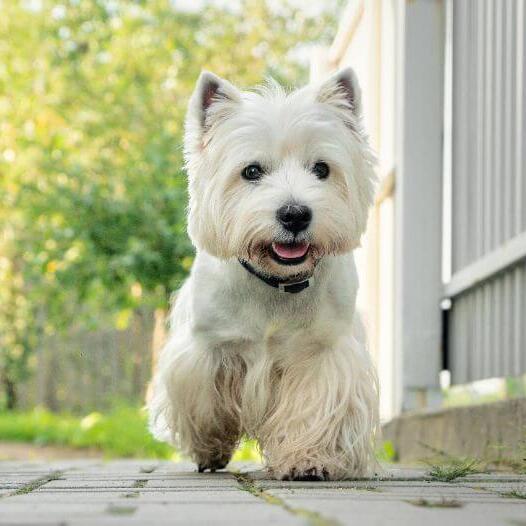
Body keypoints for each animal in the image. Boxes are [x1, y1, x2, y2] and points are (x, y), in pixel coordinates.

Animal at [148, 69, 380, 482]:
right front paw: (210, 446)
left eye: (322, 169)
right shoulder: (207, 349)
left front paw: (308, 459)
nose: (294, 214)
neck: (276, 282)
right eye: (252, 171)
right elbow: (206, 404)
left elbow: (315, 405)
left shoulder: (322, 350)